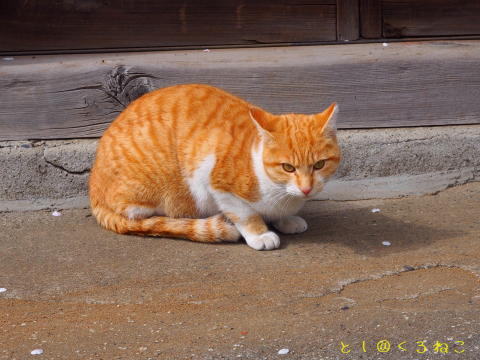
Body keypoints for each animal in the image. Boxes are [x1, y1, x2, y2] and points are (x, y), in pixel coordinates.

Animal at [88, 83, 340, 250]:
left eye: (319, 165)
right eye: (288, 167)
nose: (306, 189)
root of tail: (93, 188)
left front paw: (286, 219)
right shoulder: (213, 179)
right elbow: (245, 214)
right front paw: (260, 234)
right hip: (149, 193)